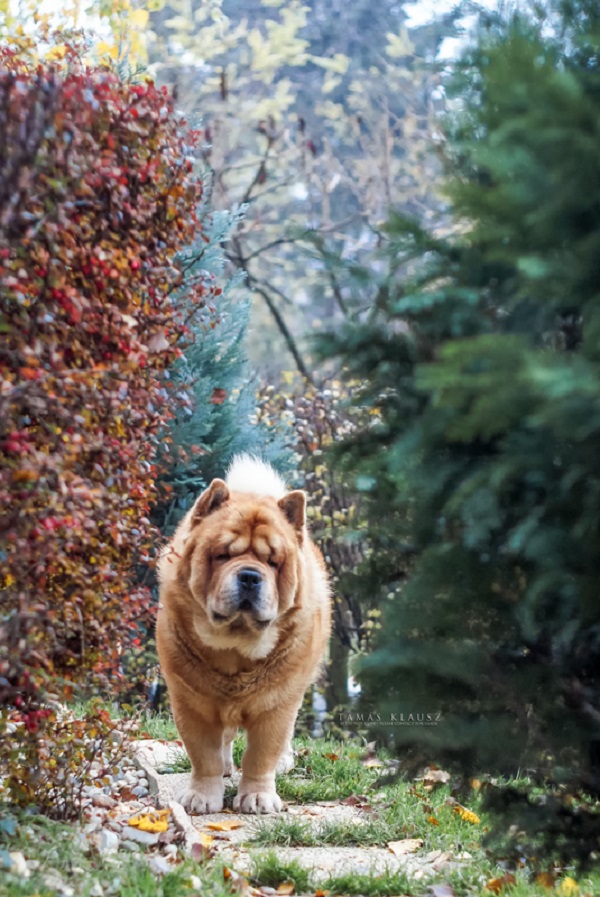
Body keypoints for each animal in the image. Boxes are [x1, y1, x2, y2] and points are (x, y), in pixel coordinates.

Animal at [157, 456, 330, 812]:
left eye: (273, 562)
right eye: (222, 554)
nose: (250, 576)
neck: (235, 649)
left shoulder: (277, 705)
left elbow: (261, 756)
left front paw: (258, 797)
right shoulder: (191, 703)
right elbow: (204, 756)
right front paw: (201, 797)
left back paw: (283, 762)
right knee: (223, 742)